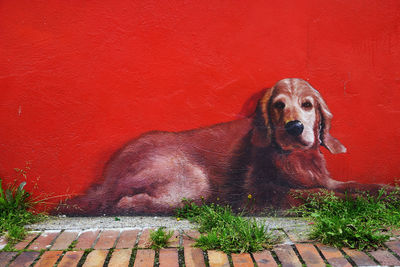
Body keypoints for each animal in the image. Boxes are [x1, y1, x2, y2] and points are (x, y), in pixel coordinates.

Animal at [60, 78, 388, 216]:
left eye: (307, 104)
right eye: (279, 105)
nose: (295, 127)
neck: (295, 158)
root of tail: (108, 174)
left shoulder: (327, 179)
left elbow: (356, 184)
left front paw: (386, 192)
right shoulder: (258, 194)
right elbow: (312, 195)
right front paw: (345, 201)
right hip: (193, 177)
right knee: (122, 203)